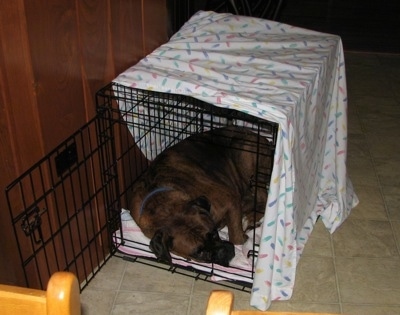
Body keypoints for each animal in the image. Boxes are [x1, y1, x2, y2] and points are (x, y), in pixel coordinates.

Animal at [130, 126, 274, 266]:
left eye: (214, 234)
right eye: (199, 253)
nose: (223, 252)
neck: (162, 205)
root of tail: (264, 139)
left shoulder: (231, 200)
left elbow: (236, 237)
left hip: (246, 159)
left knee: (263, 198)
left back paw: (250, 218)